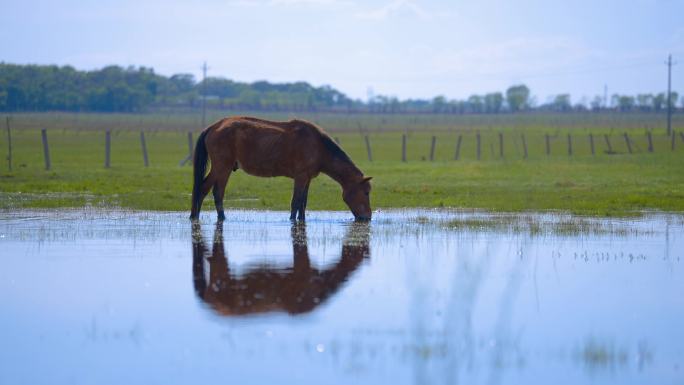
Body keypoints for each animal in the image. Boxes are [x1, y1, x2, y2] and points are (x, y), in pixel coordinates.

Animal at [190, 115, 374, 220]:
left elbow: (303, 203)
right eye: (366, 192)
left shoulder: (307, 179)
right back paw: (213, 217)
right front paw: (292, 221)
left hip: (222, 169)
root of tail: (213, 127)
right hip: (222, 168)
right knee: (211, 191)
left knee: (209, 190)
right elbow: (295, 202)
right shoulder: (300, 177)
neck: (319, 145)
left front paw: (301, 220)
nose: (367, 217)